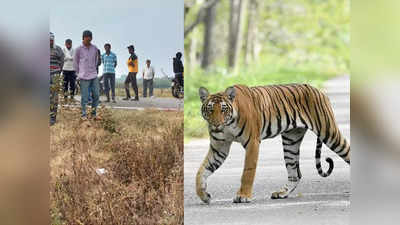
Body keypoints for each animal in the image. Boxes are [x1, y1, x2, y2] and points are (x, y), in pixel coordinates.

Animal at [197, 83, 350, 203]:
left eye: (223, 109)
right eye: (210, 109)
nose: (216, 125)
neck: (228, 124)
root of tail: (318, 90)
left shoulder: (252, 143)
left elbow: (248, 172)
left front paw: (243, 196)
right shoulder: (219, 148)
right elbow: (201, 171)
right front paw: (203, 195)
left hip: (329, 133)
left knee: (347, 150)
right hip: (290, 141)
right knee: (295, 174)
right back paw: (281, 193)